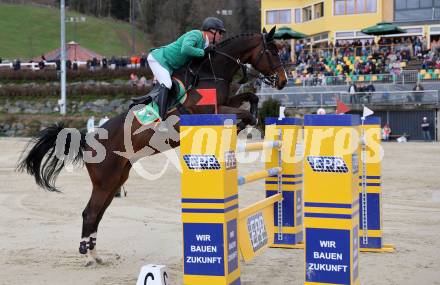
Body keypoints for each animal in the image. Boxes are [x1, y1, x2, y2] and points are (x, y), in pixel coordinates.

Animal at [17, 25, 288, 266]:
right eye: (273, 52)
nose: (283, 81)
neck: (212, 70)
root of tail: (87, 140)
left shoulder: (226, 100)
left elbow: (250, 99)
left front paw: (252, 118)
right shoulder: (208, 109)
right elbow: (243, 112)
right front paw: (245, 124)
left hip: (115, 180)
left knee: (97, 214)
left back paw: (96, 255)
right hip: (105, 181)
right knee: (90, 213)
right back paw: (87, 257)